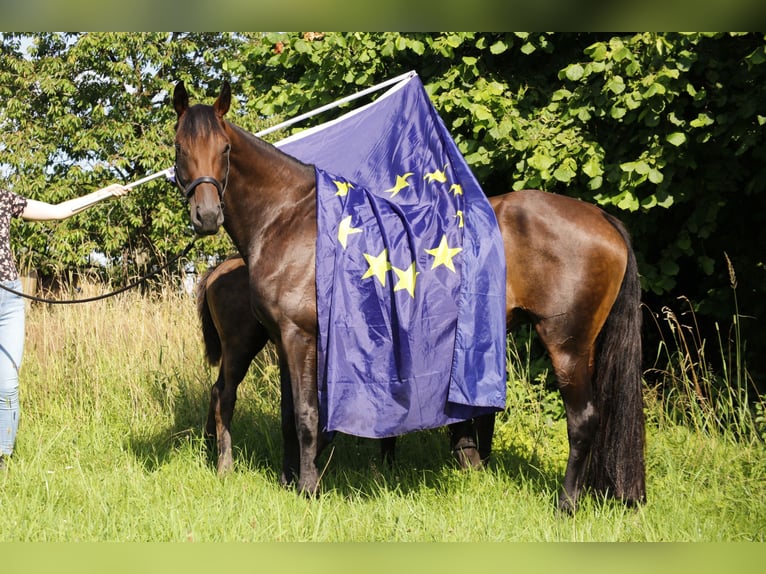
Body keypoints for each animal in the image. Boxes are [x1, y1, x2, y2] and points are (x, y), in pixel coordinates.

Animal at [174, 80, 648, 512]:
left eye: (225, 149)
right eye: (180, 148)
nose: (206, 215)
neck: (290, 218)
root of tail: (602, 219)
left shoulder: (299, 337)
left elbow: (307, 416)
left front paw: (309, 490)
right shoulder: (284, 340)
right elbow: (291, 417)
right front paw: (292, 481)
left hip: (567, 344)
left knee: (584, 419)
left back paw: (566, 503)